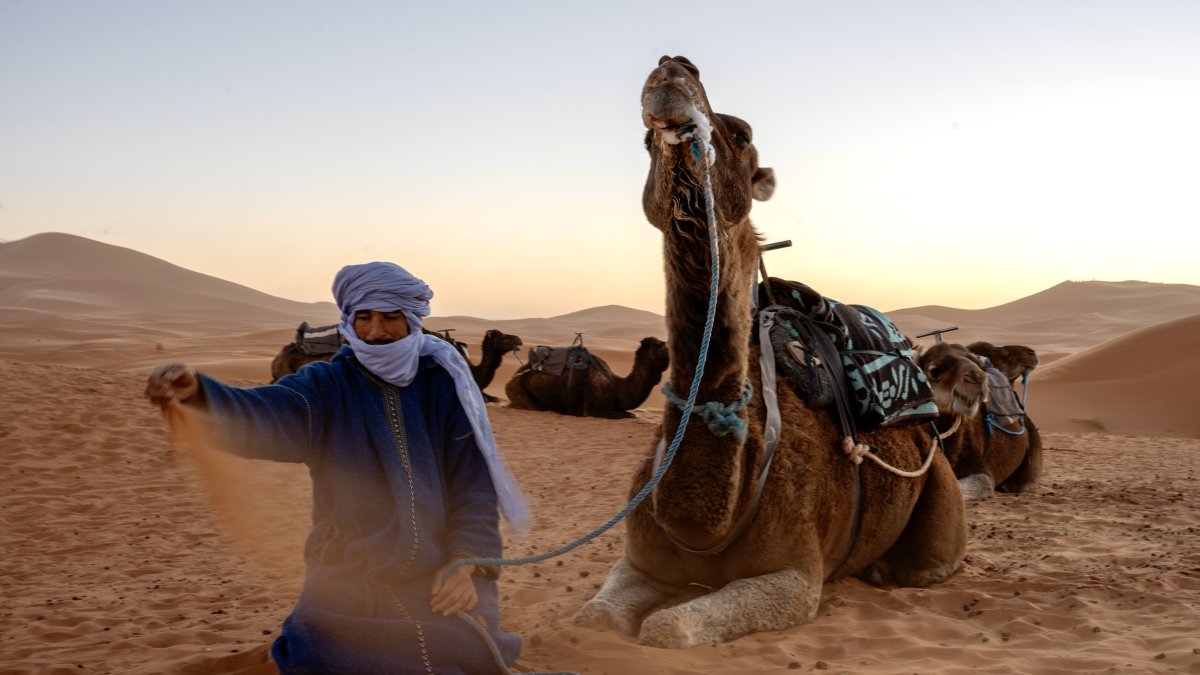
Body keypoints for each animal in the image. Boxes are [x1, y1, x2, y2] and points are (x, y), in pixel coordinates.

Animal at [504, 337, 669, 418]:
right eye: (658, 344)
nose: (670, 345)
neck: (617, 386)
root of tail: (510, 380)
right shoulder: (594, 410)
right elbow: (629, 416)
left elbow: (630, 414)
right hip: (520, 392)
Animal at [572, 56, 967, 648]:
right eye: (644, 142)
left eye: (741, 134)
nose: (673, 66)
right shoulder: (639, 561)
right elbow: (593, 620)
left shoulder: (795, 576)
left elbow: (667, 630)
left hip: (939, 488)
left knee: (931, 563)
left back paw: (883, 570)